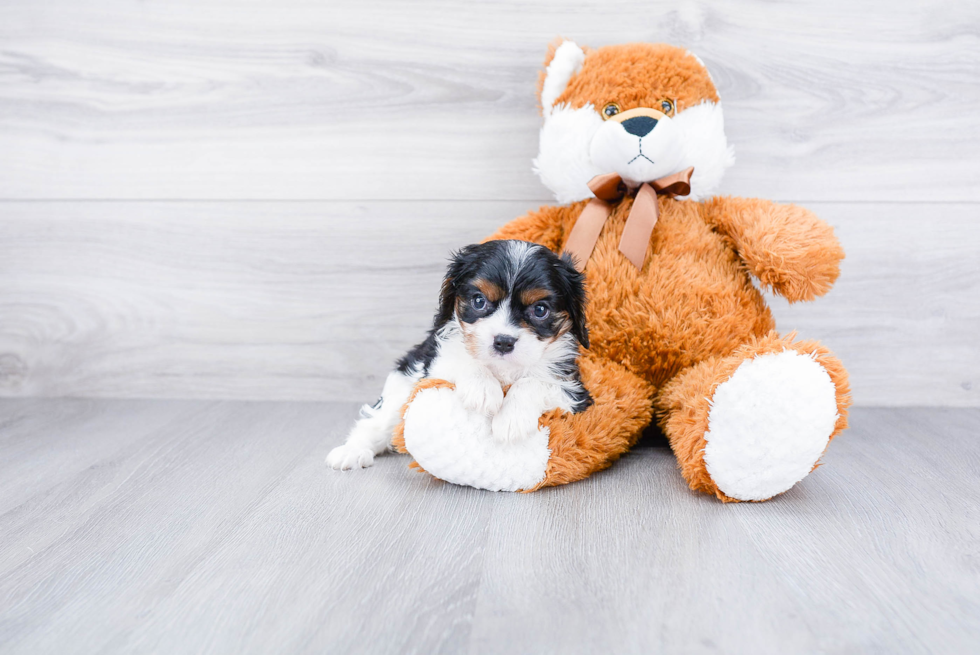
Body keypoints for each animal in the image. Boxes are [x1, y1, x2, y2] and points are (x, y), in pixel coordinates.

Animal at [328, 238, 588, 468]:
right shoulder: (434, 365)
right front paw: (483, 389)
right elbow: (462, 359)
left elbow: (534, 382)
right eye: (479, 301)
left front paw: (511, 419)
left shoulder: (575, 392)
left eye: (540, 310)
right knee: (378, 421)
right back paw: (352, 451)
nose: (503, 342)